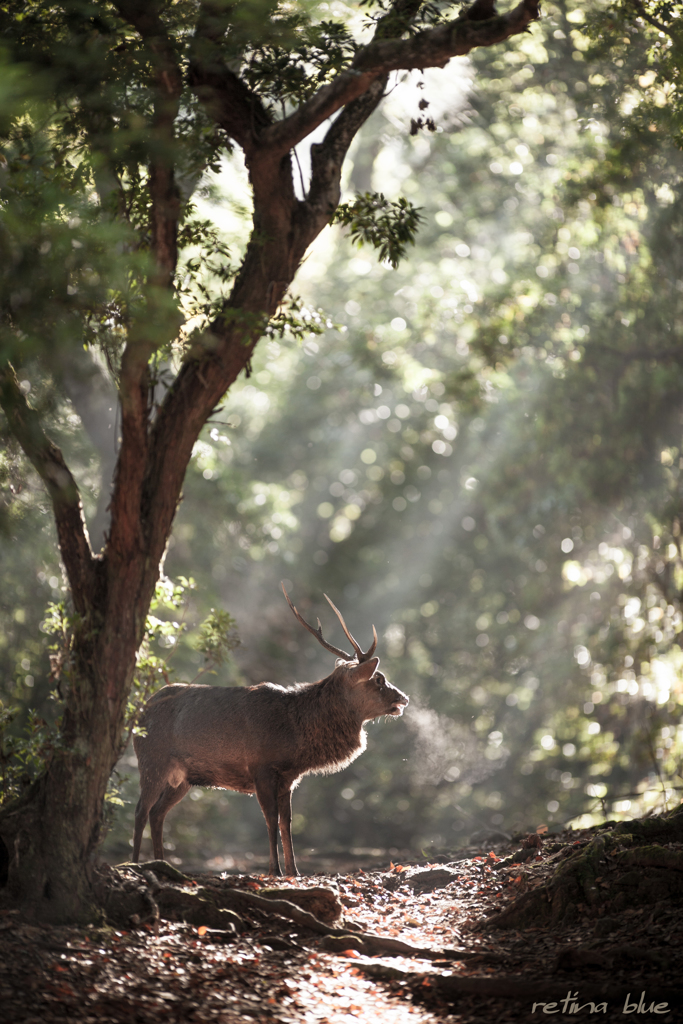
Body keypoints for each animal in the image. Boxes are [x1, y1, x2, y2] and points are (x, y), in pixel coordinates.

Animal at [134, 585, 411, 872]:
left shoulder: (288, 777)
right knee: (141, 810)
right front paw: (274, 871)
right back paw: (133, 862)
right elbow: (270, 819)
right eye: (379, 679)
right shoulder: (261, 768)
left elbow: (286, 823)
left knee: (157, 812)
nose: (404, 698)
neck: (296, 736)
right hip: (152, 759)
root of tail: (141, 708)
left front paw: (294, 871)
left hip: (182, 777)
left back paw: (160, 862)